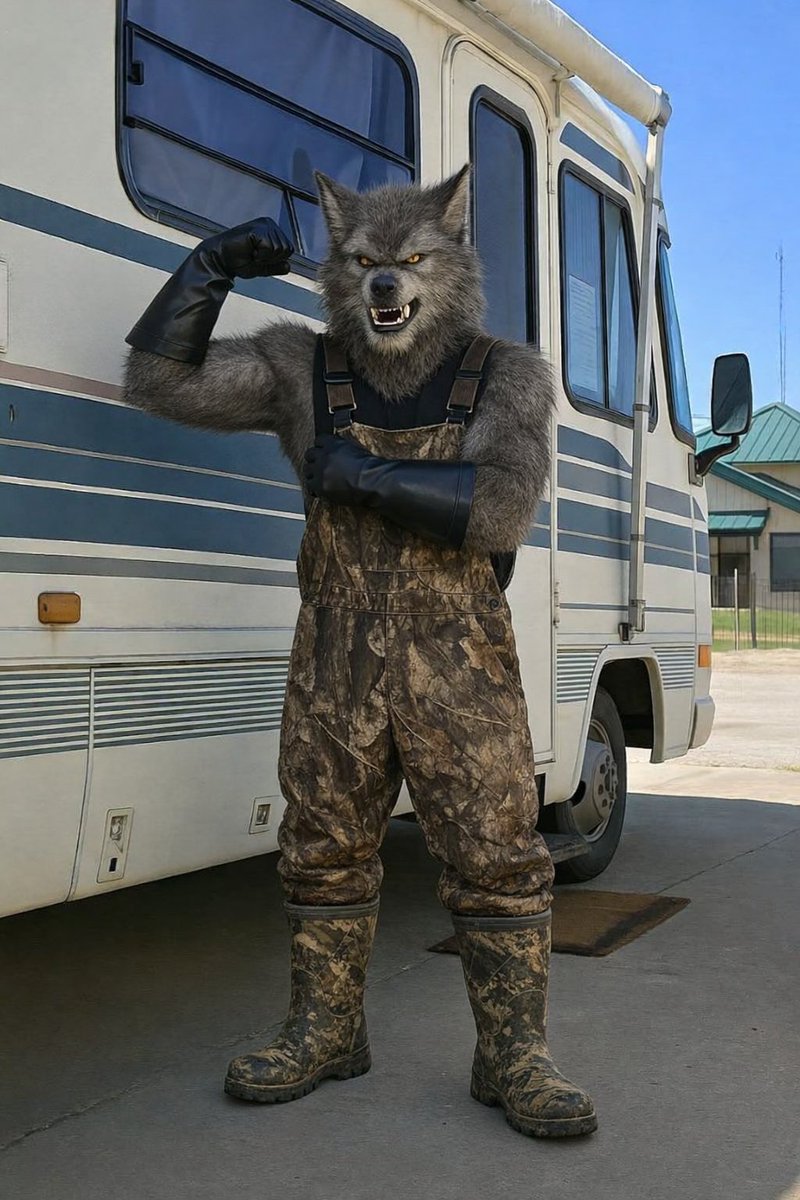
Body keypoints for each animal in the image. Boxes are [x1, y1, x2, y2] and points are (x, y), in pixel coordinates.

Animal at [123, 167, 597, 1138]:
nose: (379, 286)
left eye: (412, 259)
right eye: (362, 258)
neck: (399, 371)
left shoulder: (523, 382)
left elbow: (496, 492)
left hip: (470, 730)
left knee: (499, 880)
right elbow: (164, 379)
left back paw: (522, 1074)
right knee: (329, 865)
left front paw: (350, 468)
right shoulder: (278, 367)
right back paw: (321, 1046)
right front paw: (237, 245)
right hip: (326, 720)